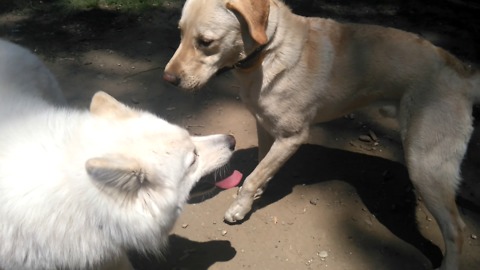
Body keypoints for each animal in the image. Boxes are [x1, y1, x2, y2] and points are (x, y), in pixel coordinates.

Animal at [165, 0, 480, 268]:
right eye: (179, 33)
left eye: (206, 42)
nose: (167, 79)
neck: (269, 51)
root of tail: (464, 74)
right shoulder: (264, 126)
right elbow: (261, 166)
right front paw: (256, 193)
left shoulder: (292, 137)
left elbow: (253, 177)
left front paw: (240, 208)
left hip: (425, 165)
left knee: (456, 229)